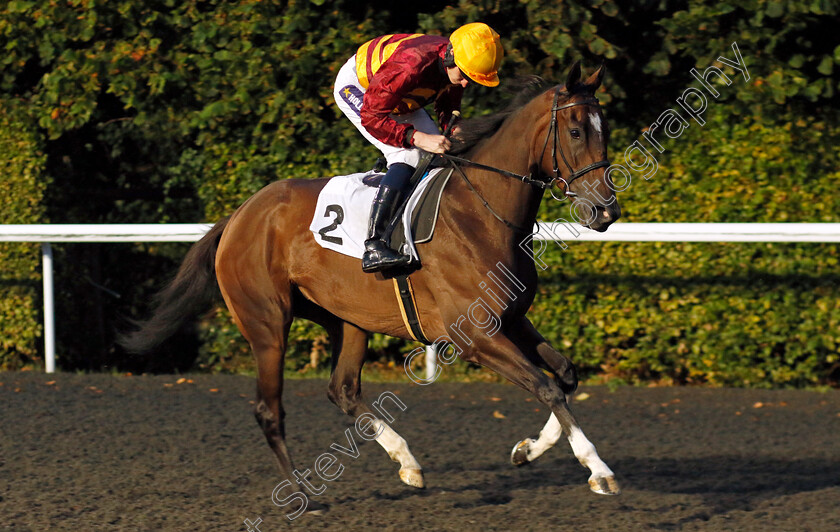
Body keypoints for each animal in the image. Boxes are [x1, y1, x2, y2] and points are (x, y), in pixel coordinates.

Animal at [123, 62, 624, 516]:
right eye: (576, 132)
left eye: (605, 130)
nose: (606, 211)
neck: (480, 213)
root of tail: (239, 215)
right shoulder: (474, 336)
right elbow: (547, 387)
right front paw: (598, 469)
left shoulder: (511, 318)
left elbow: (564, 377)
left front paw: (528, 449)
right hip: (267, 326)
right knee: (269, 409)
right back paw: (300, 495)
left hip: (346, 320)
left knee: (342, 389)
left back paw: (407, 462)